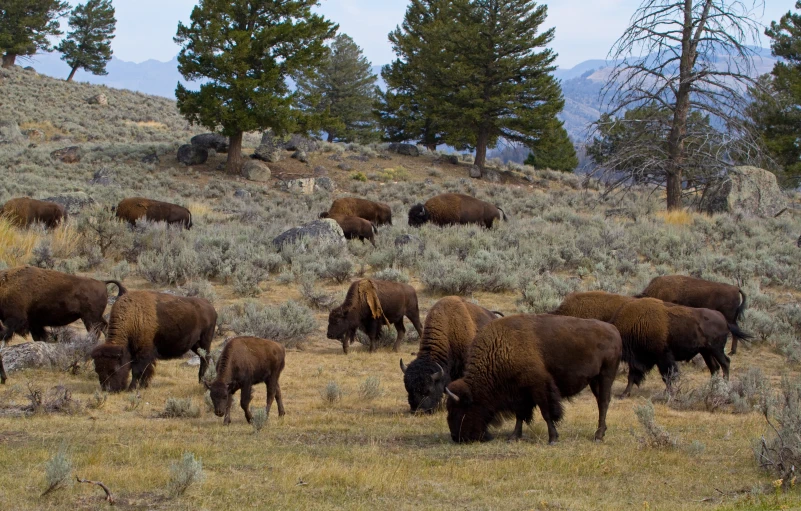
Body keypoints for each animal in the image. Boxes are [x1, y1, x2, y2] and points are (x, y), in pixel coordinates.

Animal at [444, 312, 620, 444]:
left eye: (458, 409)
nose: (456, 437)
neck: (501, 347)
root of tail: (614, 330)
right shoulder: (519, 393)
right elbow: (520, 415)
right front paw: (513, 437)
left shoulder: (539, 387)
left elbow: (546, 412)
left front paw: (553, 438)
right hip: (595, 380)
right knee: (600, 402)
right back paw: (601, 432)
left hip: (606, 375)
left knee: (603, 402)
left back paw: (598, 436)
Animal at [608, 298, 736, 398]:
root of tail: (723, 319)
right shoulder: (637, 360)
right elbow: (632, 376)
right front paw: (624, 394)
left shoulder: (663, 357)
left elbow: (667, 377)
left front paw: (669, 393)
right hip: (706, 352)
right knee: (714, 367)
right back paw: (713, 387)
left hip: (716, 349)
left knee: (725, 363)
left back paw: (724, 387)